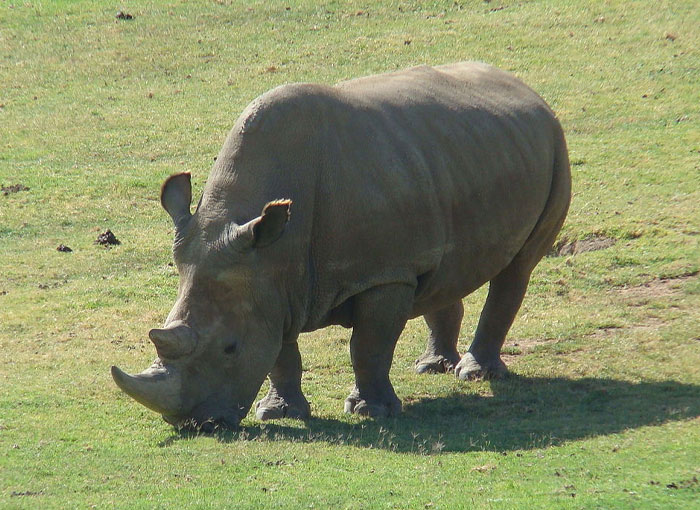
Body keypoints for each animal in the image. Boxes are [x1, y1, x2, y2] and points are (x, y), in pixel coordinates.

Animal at [111, 62, 571, 429]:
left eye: (230, 348)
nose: (194, 423)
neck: (274, 250)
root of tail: (527, 89)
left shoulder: (383, 274)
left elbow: (368, 345)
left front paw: (371, 412)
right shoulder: (269, 279)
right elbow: (280, 352)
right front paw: (279, 413)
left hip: (555, 145)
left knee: (517, 269)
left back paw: (476, 375)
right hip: (457, 156)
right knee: (441, 271)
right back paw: (432, 367)